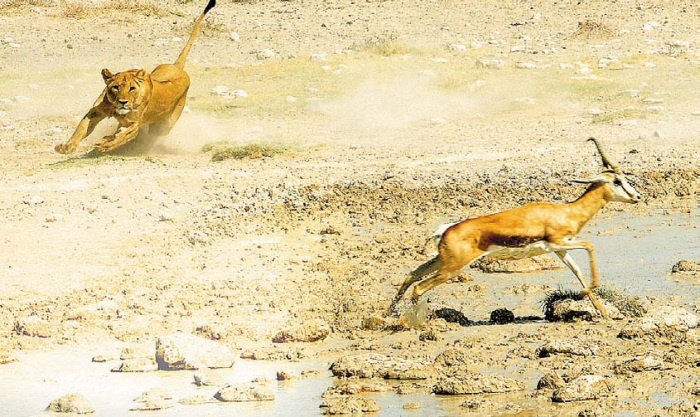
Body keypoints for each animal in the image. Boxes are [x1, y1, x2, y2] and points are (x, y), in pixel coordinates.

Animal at [392, 138, 644, 316]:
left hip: (441, 261)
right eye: (617, 181)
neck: (566, 212)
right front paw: (590, 292)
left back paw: (390, 314)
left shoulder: (560, 250)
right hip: (452, 268)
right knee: (419, 286)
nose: (637, 196)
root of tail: (445, 230)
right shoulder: (558, 242)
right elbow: (590, 246)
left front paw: (602, 312)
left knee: (411, 275)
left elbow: (578, 272)